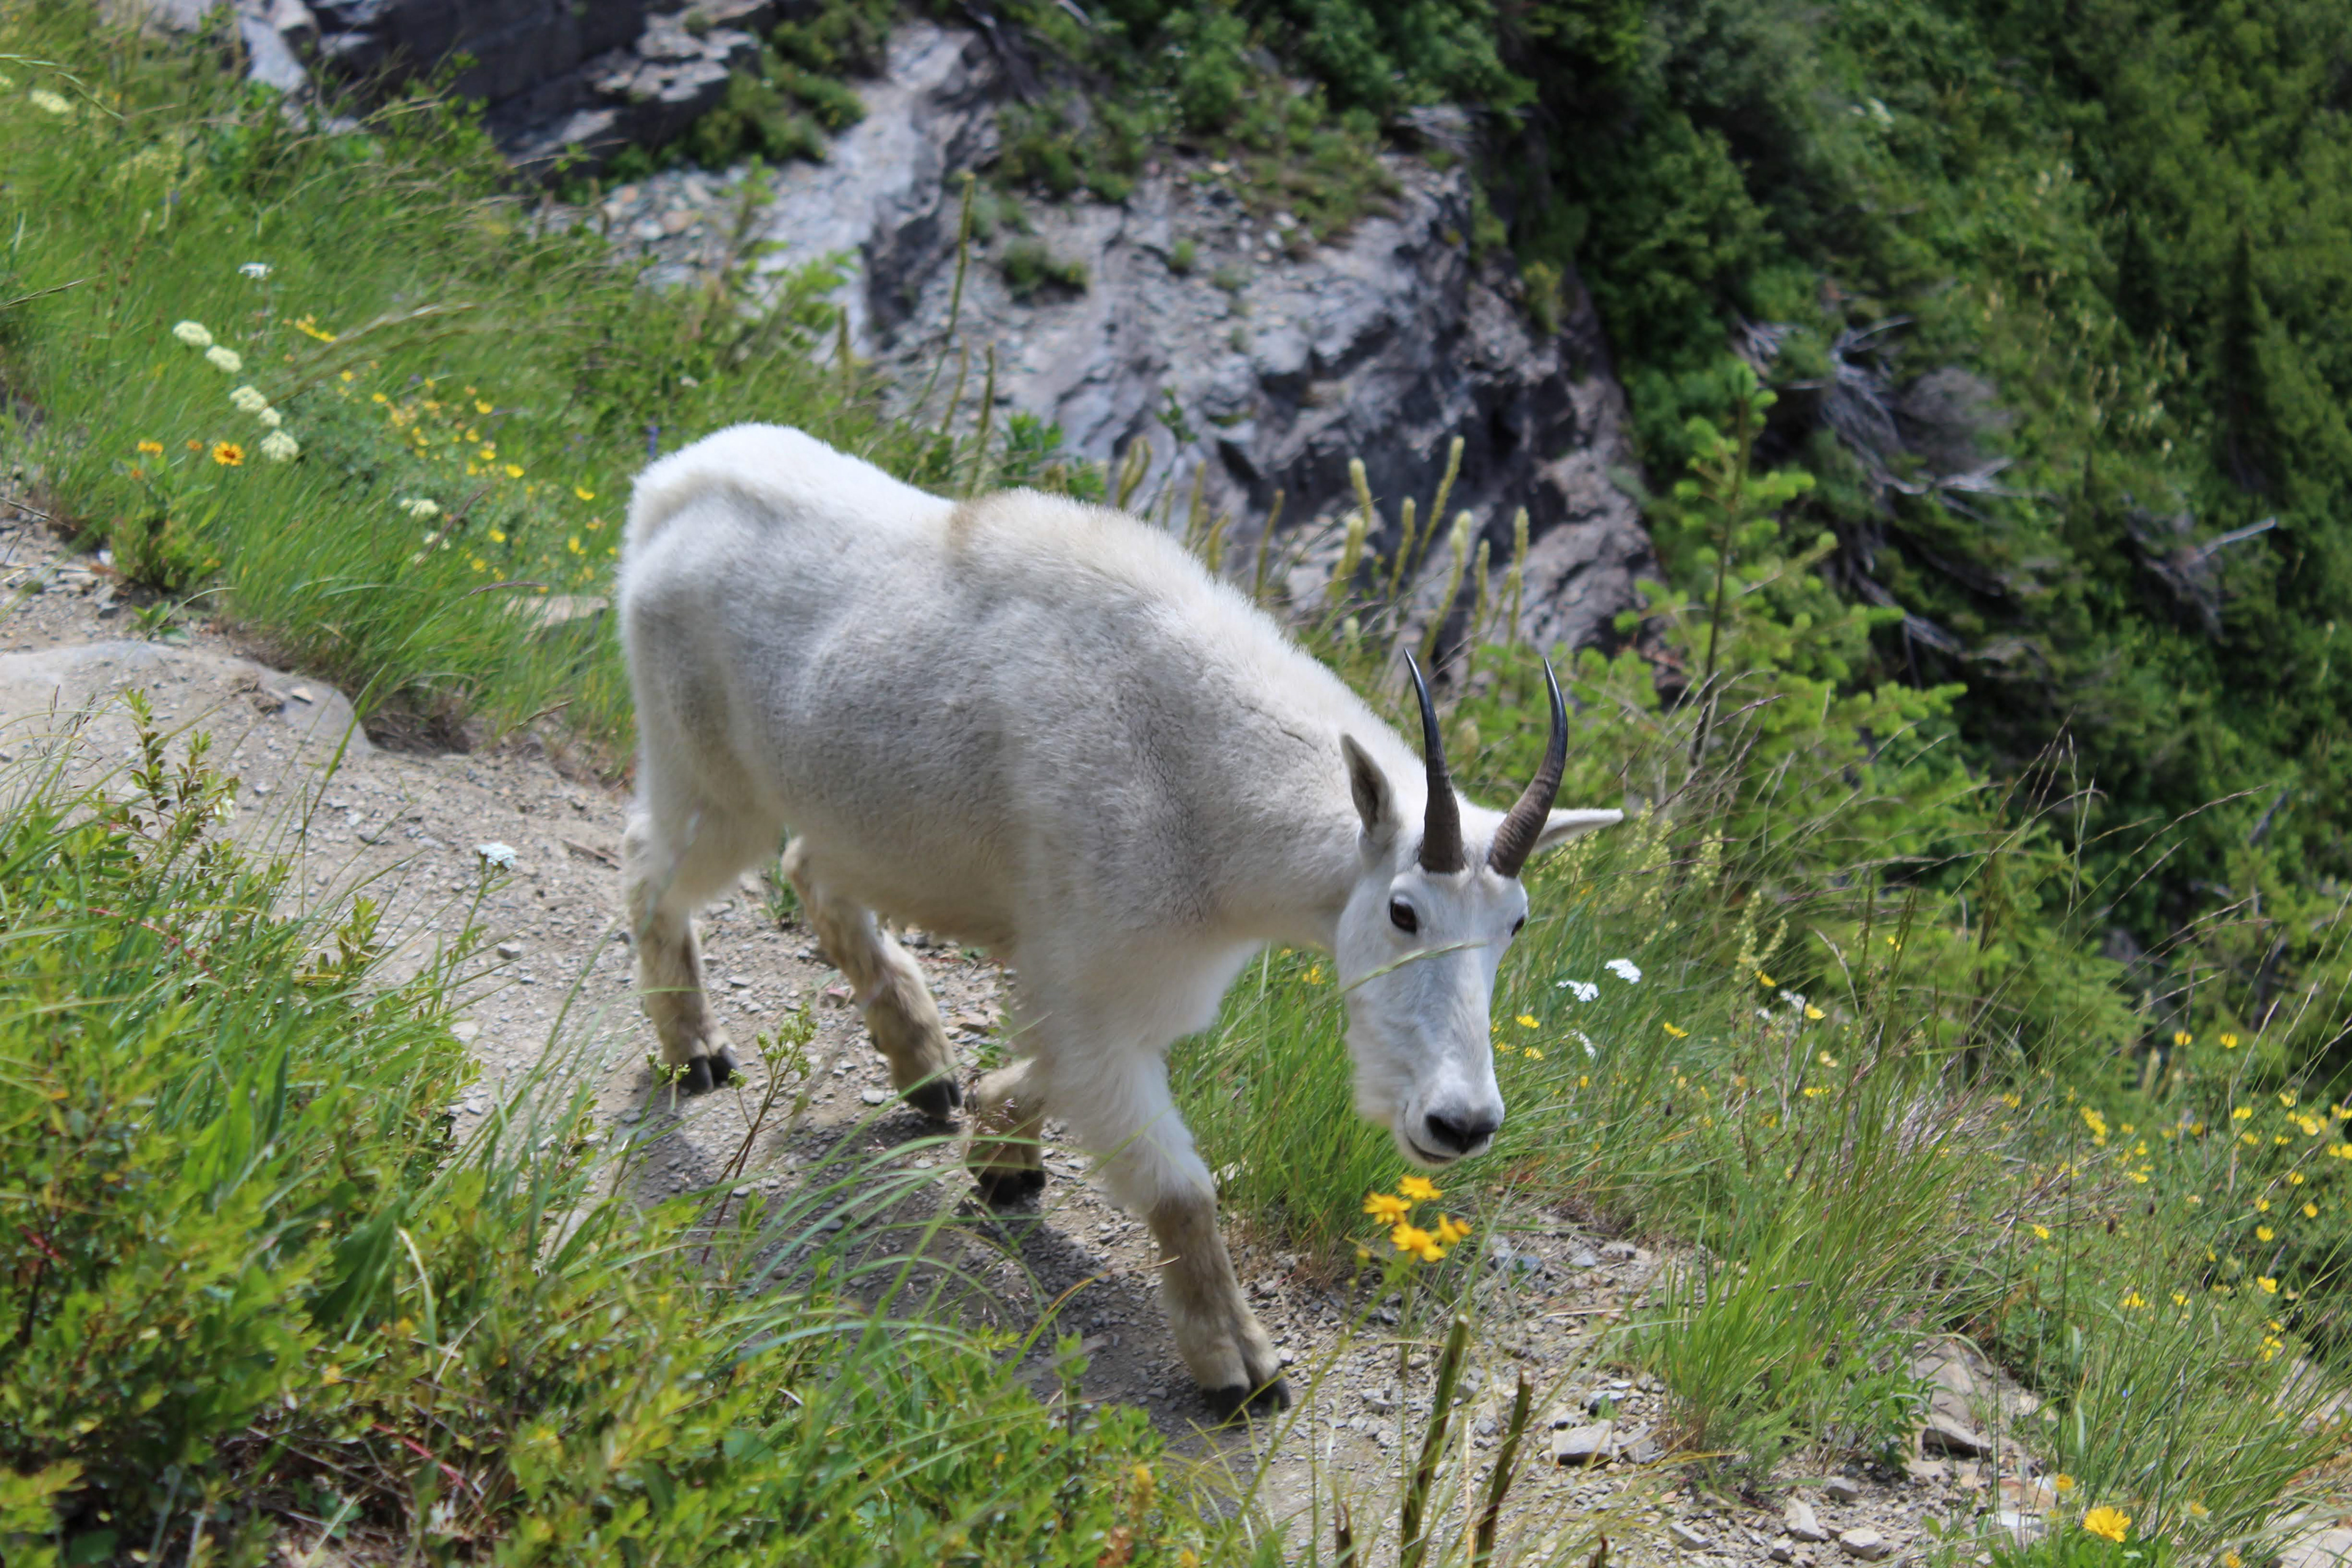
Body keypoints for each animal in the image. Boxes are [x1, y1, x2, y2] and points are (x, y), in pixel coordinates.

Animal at [618, 425, 1622, 1412]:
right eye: (1404, 910)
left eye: (1516, 926)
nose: (1462, 1122)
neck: (1204, 778)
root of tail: (668, 484)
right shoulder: (1099, 976)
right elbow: (1180, 1188)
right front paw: (1239, 1364)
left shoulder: (1116, 984)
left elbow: (1051, 1070)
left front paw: (1000, 1146)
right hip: (703, 767)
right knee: (650, 865)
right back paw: (696, 1050)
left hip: (854, 812)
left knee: (809, 871)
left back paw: (928, 1072)